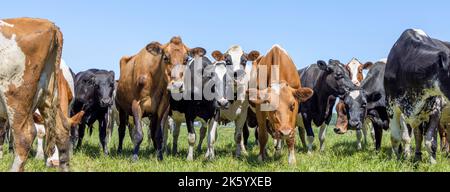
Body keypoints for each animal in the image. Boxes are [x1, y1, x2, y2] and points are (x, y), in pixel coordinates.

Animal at [384, 28, 450, 164]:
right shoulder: (391, 107)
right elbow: (397, 137)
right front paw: (396, 160)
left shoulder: (436, 109)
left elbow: (431, 141)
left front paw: (433, 163)